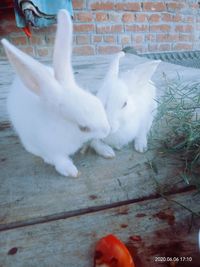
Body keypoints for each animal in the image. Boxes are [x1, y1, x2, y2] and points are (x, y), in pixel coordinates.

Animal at [1, 10, 109, 178]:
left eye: (98, 103)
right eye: (83, 128)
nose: (108, 130)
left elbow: (94, 141)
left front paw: (106, 150)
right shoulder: (52, 149)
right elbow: (59, 159)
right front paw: (71, 171)